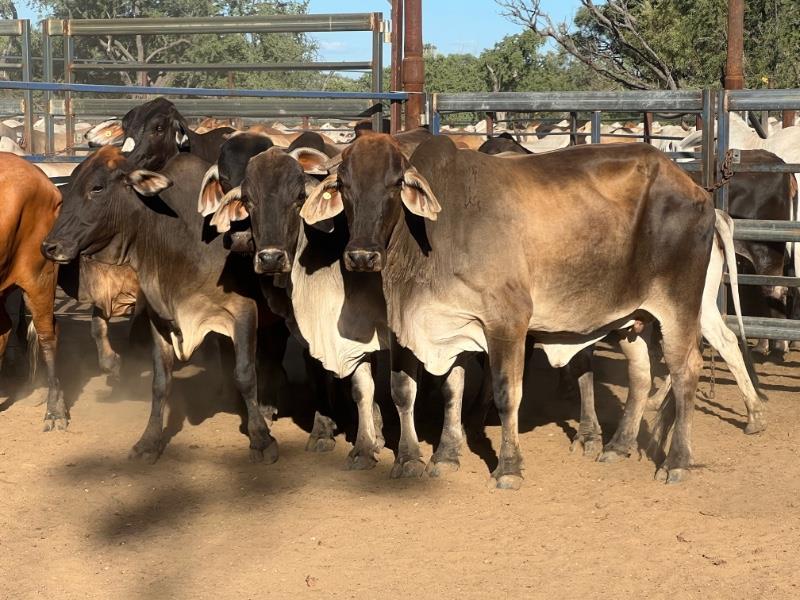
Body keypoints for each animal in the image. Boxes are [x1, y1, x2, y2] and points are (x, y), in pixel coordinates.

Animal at [42, 147, 277, 463]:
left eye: (97, 187)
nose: (50, 247)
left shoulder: (244, 312)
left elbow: (245, 374)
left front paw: (261, 437)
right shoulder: (160, 321)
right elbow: (160, 383)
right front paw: (149, 441)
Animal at [299, 134, 746, 487]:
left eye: (395, 184)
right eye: (344, 185)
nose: (361, 256)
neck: (432, 234)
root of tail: (697, 189)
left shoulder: (508, 321)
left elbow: (505, 393)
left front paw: (509, 466)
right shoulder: (448, 326)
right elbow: (449, 390)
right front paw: (444, 456)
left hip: (679, 305)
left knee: (686, 371)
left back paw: (677, 462)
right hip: (630, 319)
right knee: (641, 375)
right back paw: (618, 446)